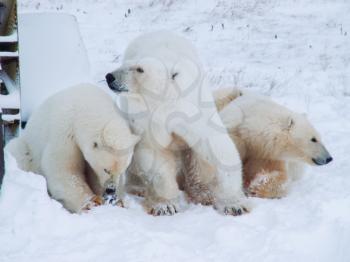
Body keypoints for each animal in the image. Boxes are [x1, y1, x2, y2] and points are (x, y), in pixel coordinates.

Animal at [6, 84, 138, 213]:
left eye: (122, 171)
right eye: (106, 169)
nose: (111, 189)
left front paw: (118, 201)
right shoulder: (66, 132)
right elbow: (63, 168)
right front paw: (91, 203)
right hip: (26, 147)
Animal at [106, 31, 249, 215]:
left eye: (139, 69)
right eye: (125, 64)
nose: (110, 77)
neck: (167, 102)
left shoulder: (192, 110)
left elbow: (216, 146)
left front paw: (234, 204)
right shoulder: (147, 118)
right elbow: (154, 153)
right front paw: (165, 205)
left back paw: (203, 192)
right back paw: (137, 187)